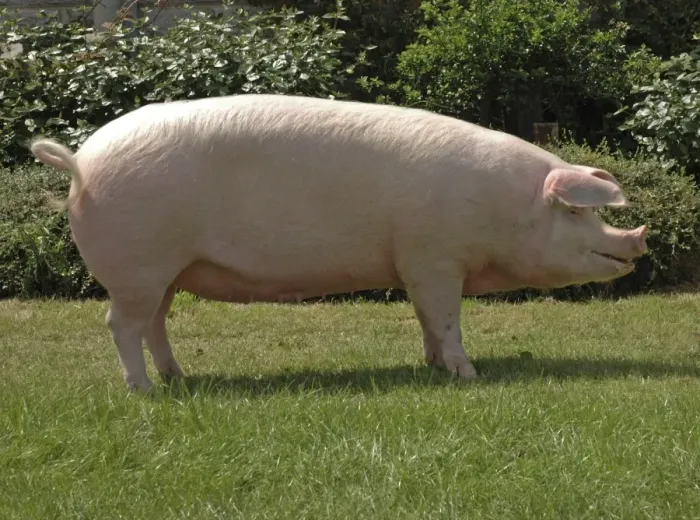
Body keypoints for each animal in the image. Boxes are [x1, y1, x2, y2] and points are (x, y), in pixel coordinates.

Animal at [29, 94, 648, 391]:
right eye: (576, 210)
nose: (637, 239)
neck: (501, 207)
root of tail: (81, 162)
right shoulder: (433, 256)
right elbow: (447, 319)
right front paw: (468, 375)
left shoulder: (413, 264)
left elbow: (426, 319)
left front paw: (431, 367)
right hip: (136, 266)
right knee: (121, 325)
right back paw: (143, 392)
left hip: (164, 272)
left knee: (154, 323)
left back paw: (180, 379)